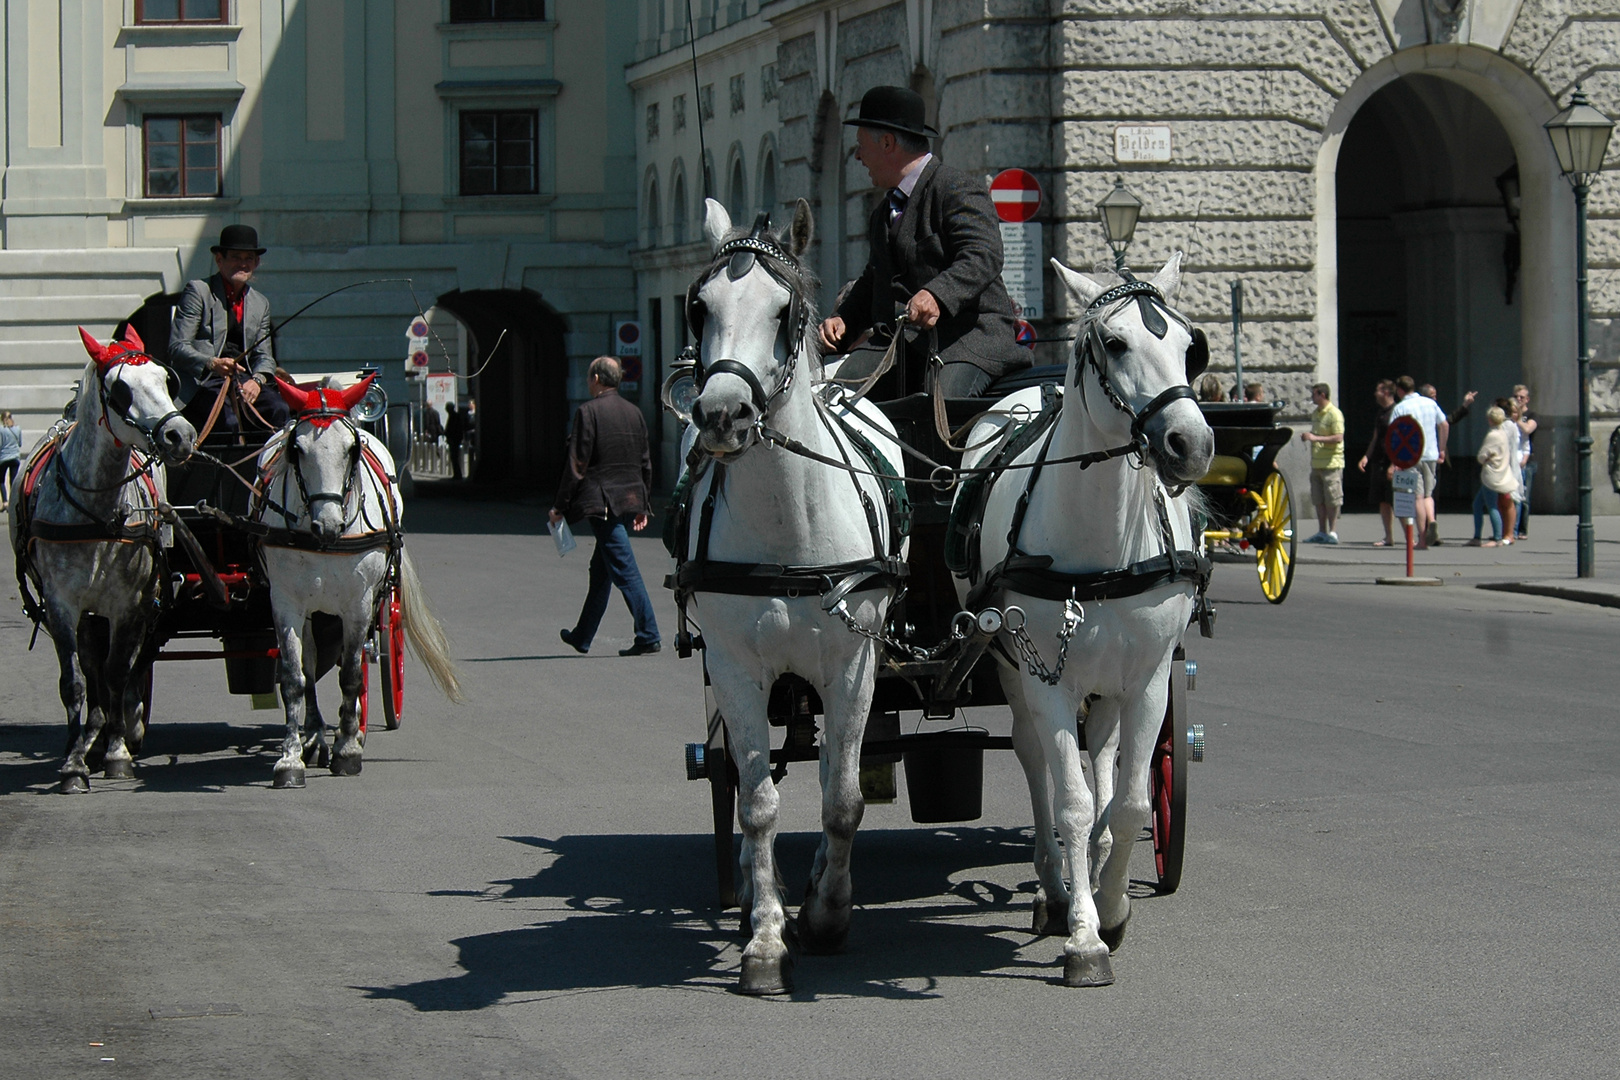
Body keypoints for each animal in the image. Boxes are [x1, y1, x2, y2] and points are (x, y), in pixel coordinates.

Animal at [10, 325, 197, 790]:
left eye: (166, 380)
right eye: (121, 390)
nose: (181, 435)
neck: (97, 510)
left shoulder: (128, 605)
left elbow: (117, 673)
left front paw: (117, 752)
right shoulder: (62, 604)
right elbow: (76, 681)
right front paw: (75, 762)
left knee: (120, 666)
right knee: (91, 663)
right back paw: (89, 737)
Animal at [255, 378, 463, 786]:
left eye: (351, 450)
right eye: (296, 449)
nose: (328, 525)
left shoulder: (358, 604)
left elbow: (351, 674)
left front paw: (348, 749)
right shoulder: (285, 603)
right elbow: (294, 677)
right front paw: (290, 758)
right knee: (310, 664)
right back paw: (315, 736)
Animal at [673, 196, 907, 997]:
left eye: (785, 312)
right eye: (699, 306)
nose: (721, 416)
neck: (786, 528)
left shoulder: (854, 667)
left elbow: (843, 800)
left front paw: (827, 914)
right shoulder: (736, 668)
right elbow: (757, 804)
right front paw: (768, 940)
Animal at [946, 255, 1218, 990]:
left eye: (1191, 346)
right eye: (1116, 344)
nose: (1190, 444)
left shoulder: (1147, 680)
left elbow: (1126, 801)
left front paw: (1113, 905)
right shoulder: (1045, 679)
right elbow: (1068, 797)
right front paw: (1084, 937)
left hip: (1107, 683)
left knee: (1102, 759)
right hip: (1013, 667)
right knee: (1037, 758)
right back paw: (1054, 886)